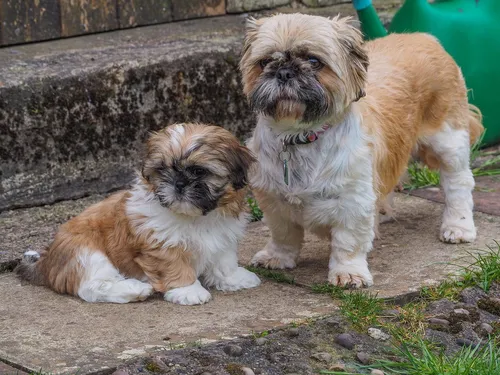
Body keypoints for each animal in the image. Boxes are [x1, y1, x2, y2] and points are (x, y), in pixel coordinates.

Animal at [15, 123, 260, 306]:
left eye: (199, 171)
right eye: (162, 170)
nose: (178, 184)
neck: (196, 217)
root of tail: (47, 261)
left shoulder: (223, 234)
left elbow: (223, 259)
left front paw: (233, 277)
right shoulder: (160, 243)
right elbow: (174, 264)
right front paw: (188, 290)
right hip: (85, 253)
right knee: (91, 287)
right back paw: (135, 289)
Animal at [240, 12, 482, 288]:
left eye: (314, 61)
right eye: (264, 62)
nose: (284, 72)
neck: (302, 136)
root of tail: (424, 37)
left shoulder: (352, 199)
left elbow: (348, 242)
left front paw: (348, 273)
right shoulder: (273, 199)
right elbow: (283, 234)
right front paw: (277, 257)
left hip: (448, 140)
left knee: (458, 183)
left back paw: (458, 226)